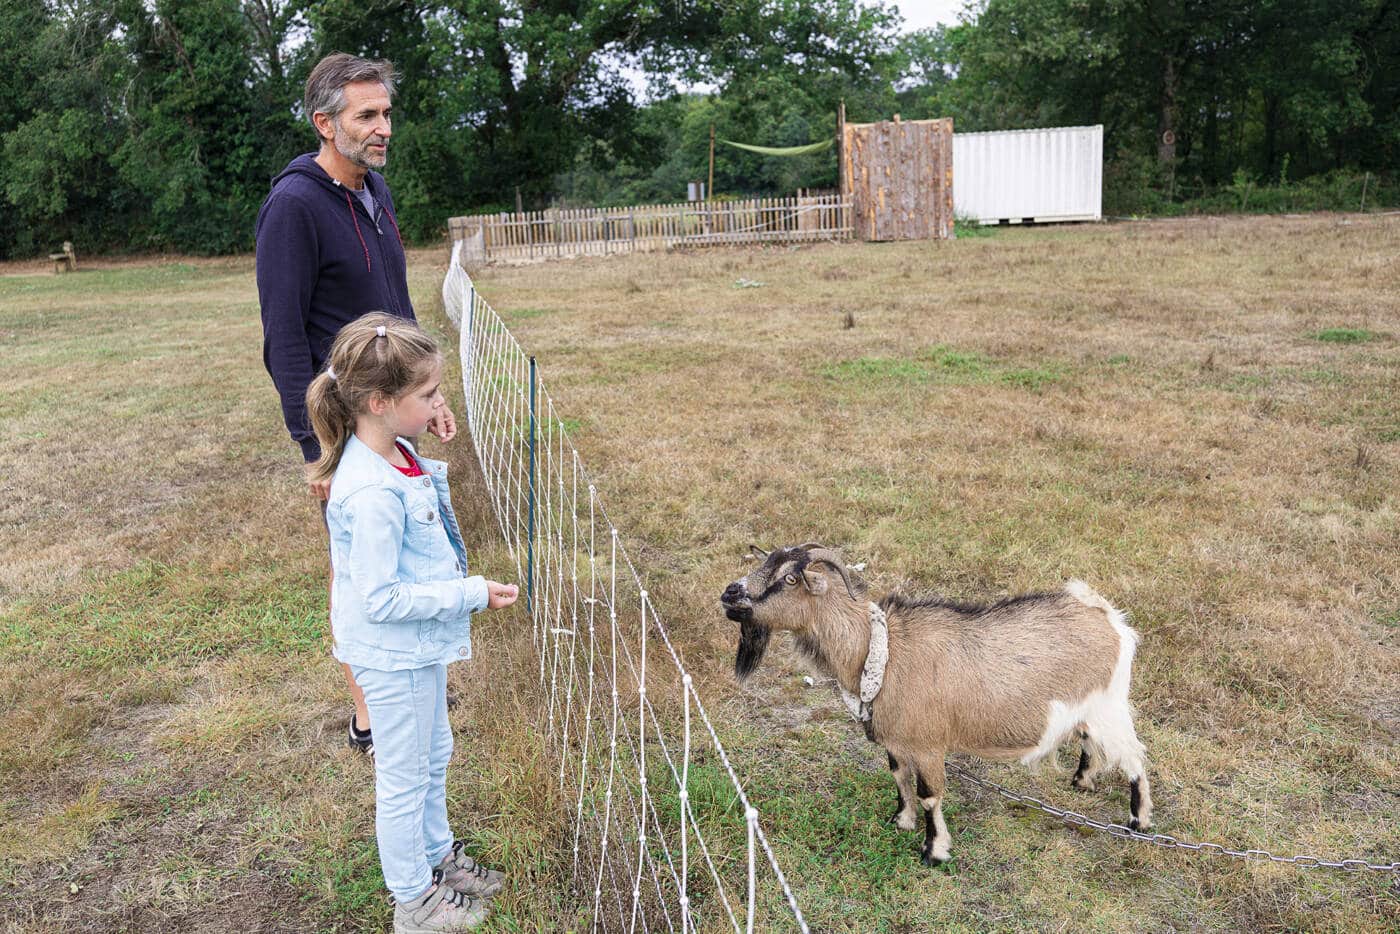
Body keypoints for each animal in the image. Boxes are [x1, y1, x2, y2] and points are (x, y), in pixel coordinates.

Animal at [716, 543, 1153, 868]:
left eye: (790, 578)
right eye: (765, 564)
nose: (730, 593)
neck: (880, 651)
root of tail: (1106, 616)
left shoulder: (927, 745)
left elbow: (929, 794)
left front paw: (934, 851)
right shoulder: (897, 740)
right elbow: (898, 777)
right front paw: (901, 820)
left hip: (1109, 705)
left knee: (1134, 756)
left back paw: (1139, 820)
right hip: (1089, 710)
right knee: (1090, 739)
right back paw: (1082, 780)